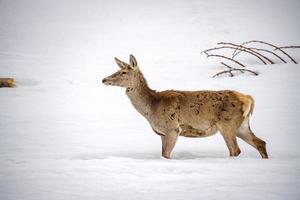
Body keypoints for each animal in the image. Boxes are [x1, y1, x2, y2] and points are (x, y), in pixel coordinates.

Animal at [102, 54, 268, 159]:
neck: (151, 108)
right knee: (261, 142)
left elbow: (166, 155)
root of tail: (248, 98)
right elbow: (163, 154)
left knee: (235, 150)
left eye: (123, 72)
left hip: (227, 124)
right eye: (117, 70)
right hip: (242, 125)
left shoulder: (173, 129)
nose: (104, 79)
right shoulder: (162, 133)